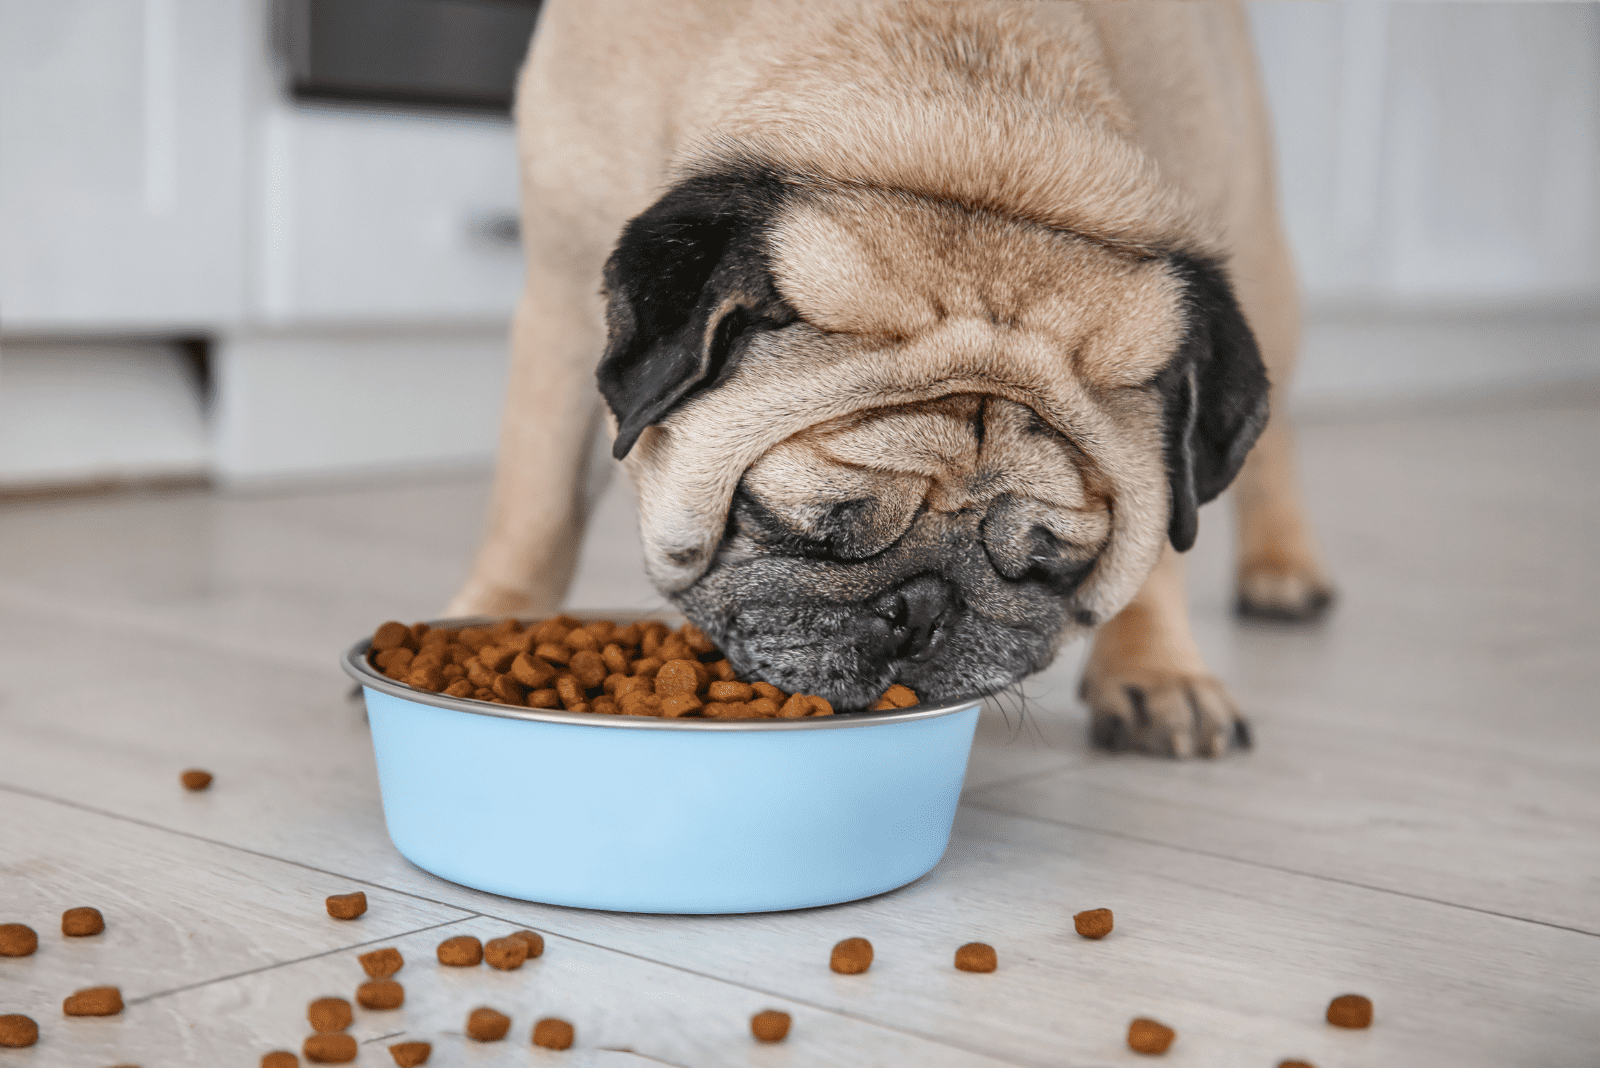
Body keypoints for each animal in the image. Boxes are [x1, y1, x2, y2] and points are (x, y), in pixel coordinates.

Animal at [444, 0, 1331, 754]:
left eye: (1046, 565)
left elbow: (1161, 543)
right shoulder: (564, 293)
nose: (923, 610)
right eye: (798, 525)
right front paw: (493, 619)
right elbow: (537, 510)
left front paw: (1156, 671)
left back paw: (1283, 571)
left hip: (1260, 255)